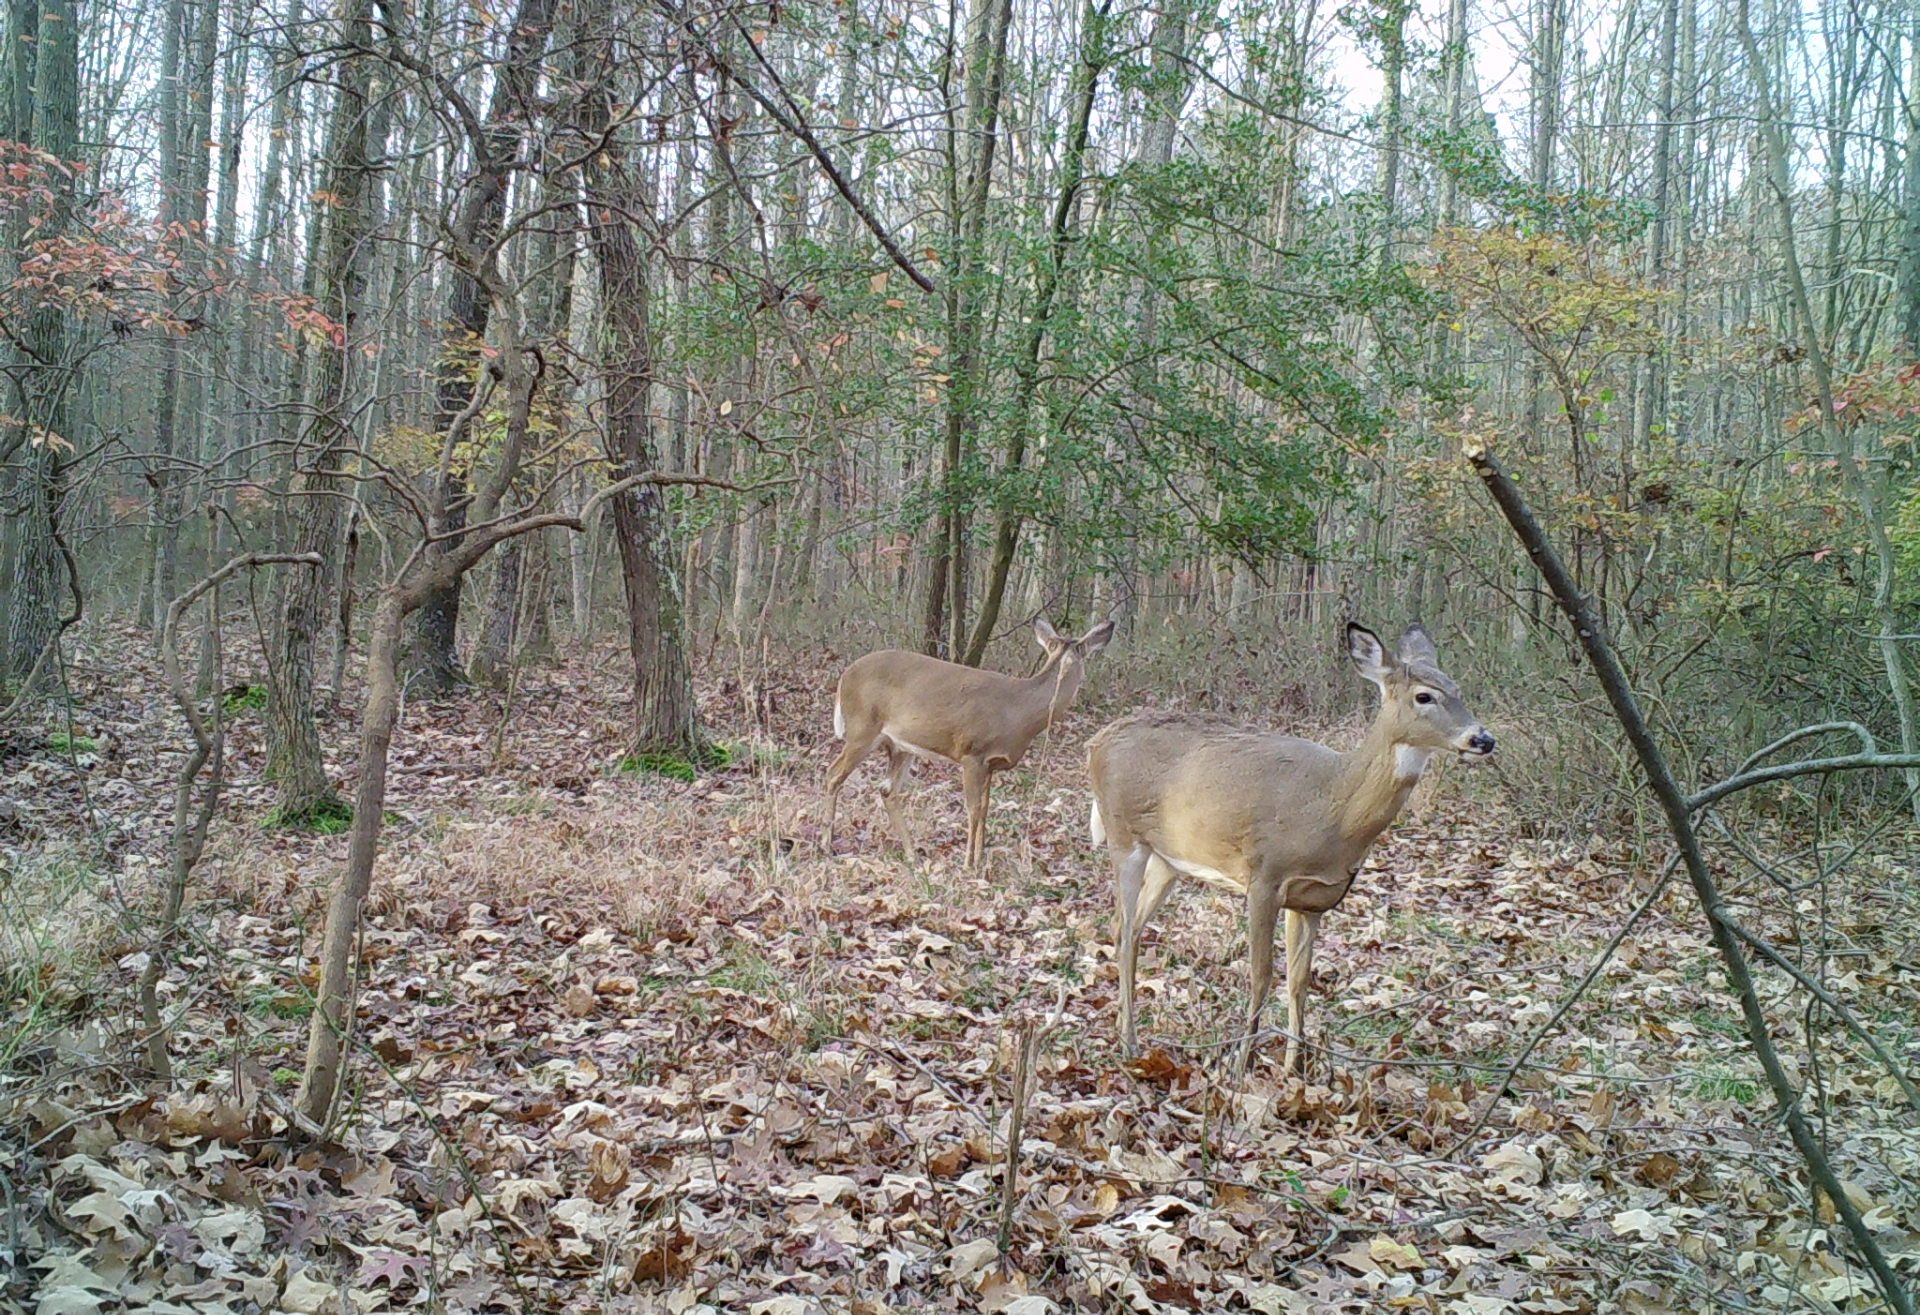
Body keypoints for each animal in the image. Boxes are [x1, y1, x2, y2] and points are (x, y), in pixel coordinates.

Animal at [821, 618, 1121, 871]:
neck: (1020, 712)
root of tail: (844, 677)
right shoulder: (972, 754)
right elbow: (973, 809)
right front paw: (968, 864)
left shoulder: (990, 765)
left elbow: (986, 809)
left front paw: (979, 859)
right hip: (862, 730)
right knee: (833, 774)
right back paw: (826, 845)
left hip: (899, 745)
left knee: (887, 790)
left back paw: (911, 854)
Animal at [1090, 621, 1489, 1075]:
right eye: (1424, 696)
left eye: (1458, 688)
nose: (1483, 739)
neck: (1334, 806)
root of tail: (1097, 741)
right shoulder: (1264, 875)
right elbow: (1261, 975)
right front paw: (1240, 1064)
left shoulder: (1312, 899)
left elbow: (1299, 981)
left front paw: (1294, 1069)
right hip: (1124, 837)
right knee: (1123, 931)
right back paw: (1129, 1043)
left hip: (1169, 858)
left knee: (1129, 926)